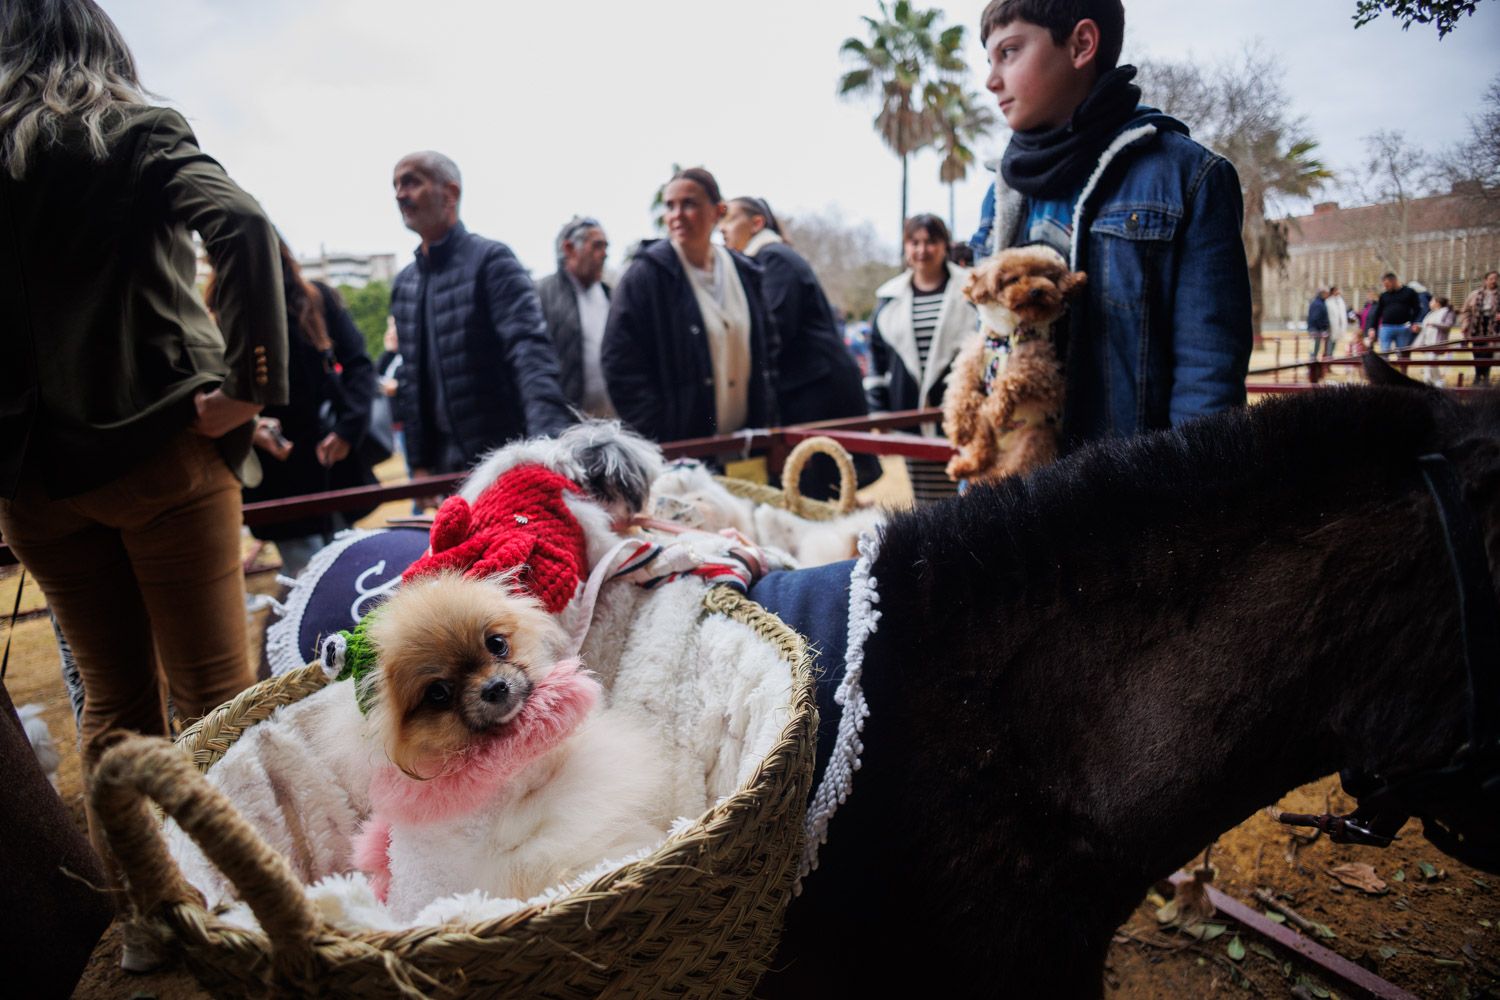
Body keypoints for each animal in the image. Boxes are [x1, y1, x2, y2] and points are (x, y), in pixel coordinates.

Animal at [943, 246, 1086, 483]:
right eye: (1013, 279)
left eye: (1047, 277)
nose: (1036, 291)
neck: (1006, 338)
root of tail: (1003, 451)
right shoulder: (972, 360)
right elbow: (961, 391)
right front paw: (958, 429)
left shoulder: (1046, 373)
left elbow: (1012, 379)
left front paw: (998, 409)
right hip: (984, 429)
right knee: (982, 451)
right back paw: (964, 467)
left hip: (1034, 438)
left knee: (1010, 469)